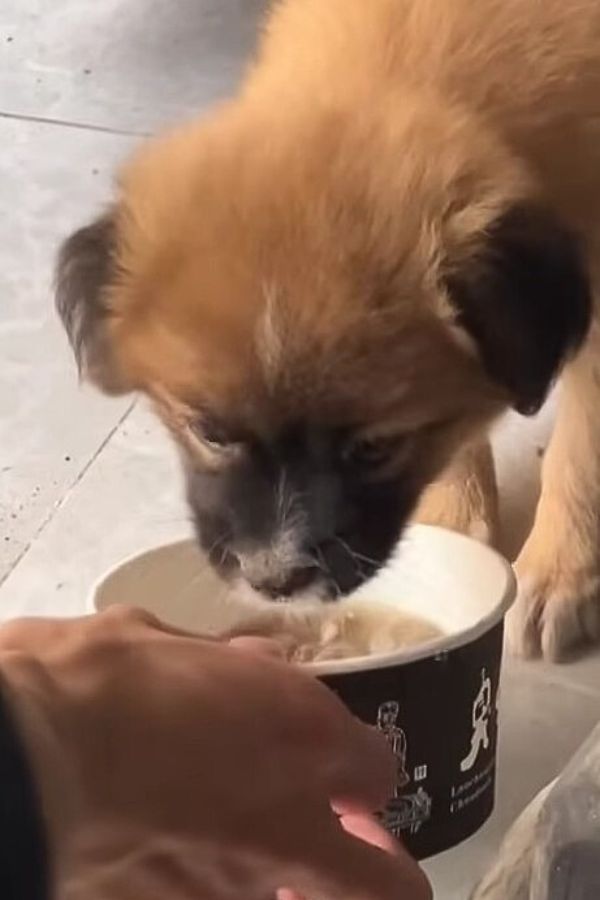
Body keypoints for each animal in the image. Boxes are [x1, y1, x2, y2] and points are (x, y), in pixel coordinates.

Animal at [55, 0, 600, 660]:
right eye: (209, 432)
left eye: (373, 449)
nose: (275, 582)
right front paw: (453, 526)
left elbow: (580, 449)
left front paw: (557, 574)